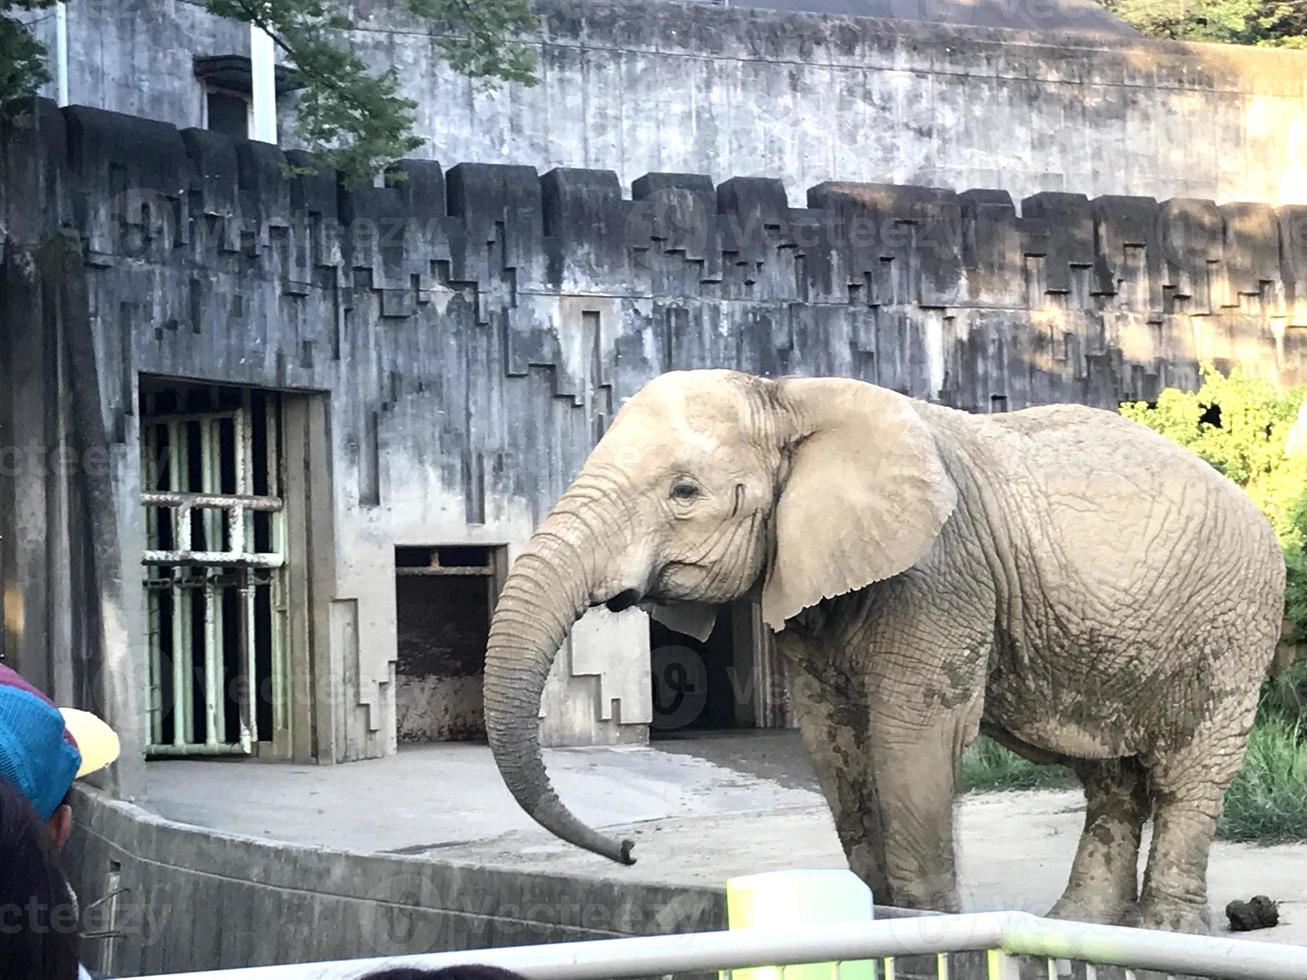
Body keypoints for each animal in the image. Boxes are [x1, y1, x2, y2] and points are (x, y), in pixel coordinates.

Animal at [478, 371, 1275, 935]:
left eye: (683, 492)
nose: (631, 853)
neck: (789, 397)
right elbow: (833, 741)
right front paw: (875, 916)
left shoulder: (938, 573)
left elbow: (912, 734)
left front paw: (927, 925)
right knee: (1109, 775)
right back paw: (1079, 924)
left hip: (1232, 628)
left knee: (1188, 772)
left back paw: (1167, 929)